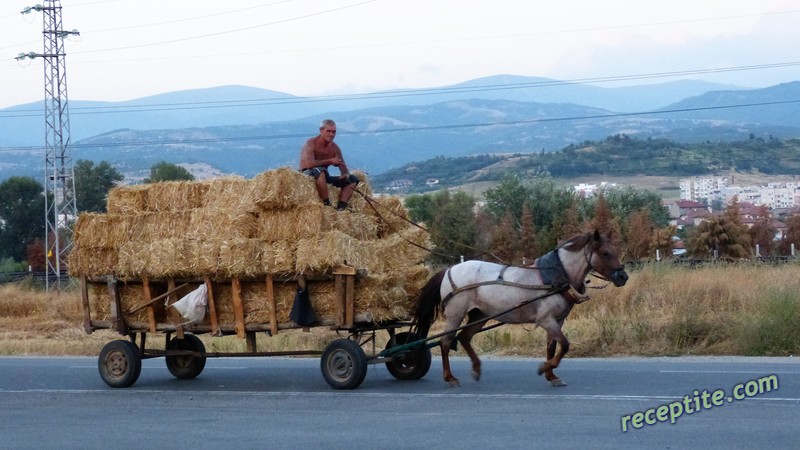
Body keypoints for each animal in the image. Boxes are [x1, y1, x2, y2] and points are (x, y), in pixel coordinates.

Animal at [416, 232, 628, 386]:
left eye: (615, 250)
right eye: (605, 253)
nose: (623, 276)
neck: (557, 276)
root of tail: (449, 269)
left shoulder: (557, 320)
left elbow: (552, 347)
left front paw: (551, 376)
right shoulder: (546, 320)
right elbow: (565, 345)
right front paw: (544, 369)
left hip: (480, 315)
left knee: (464, 337)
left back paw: (476, 369)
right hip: (455, 314)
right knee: (445, 342)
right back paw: (450, 377)